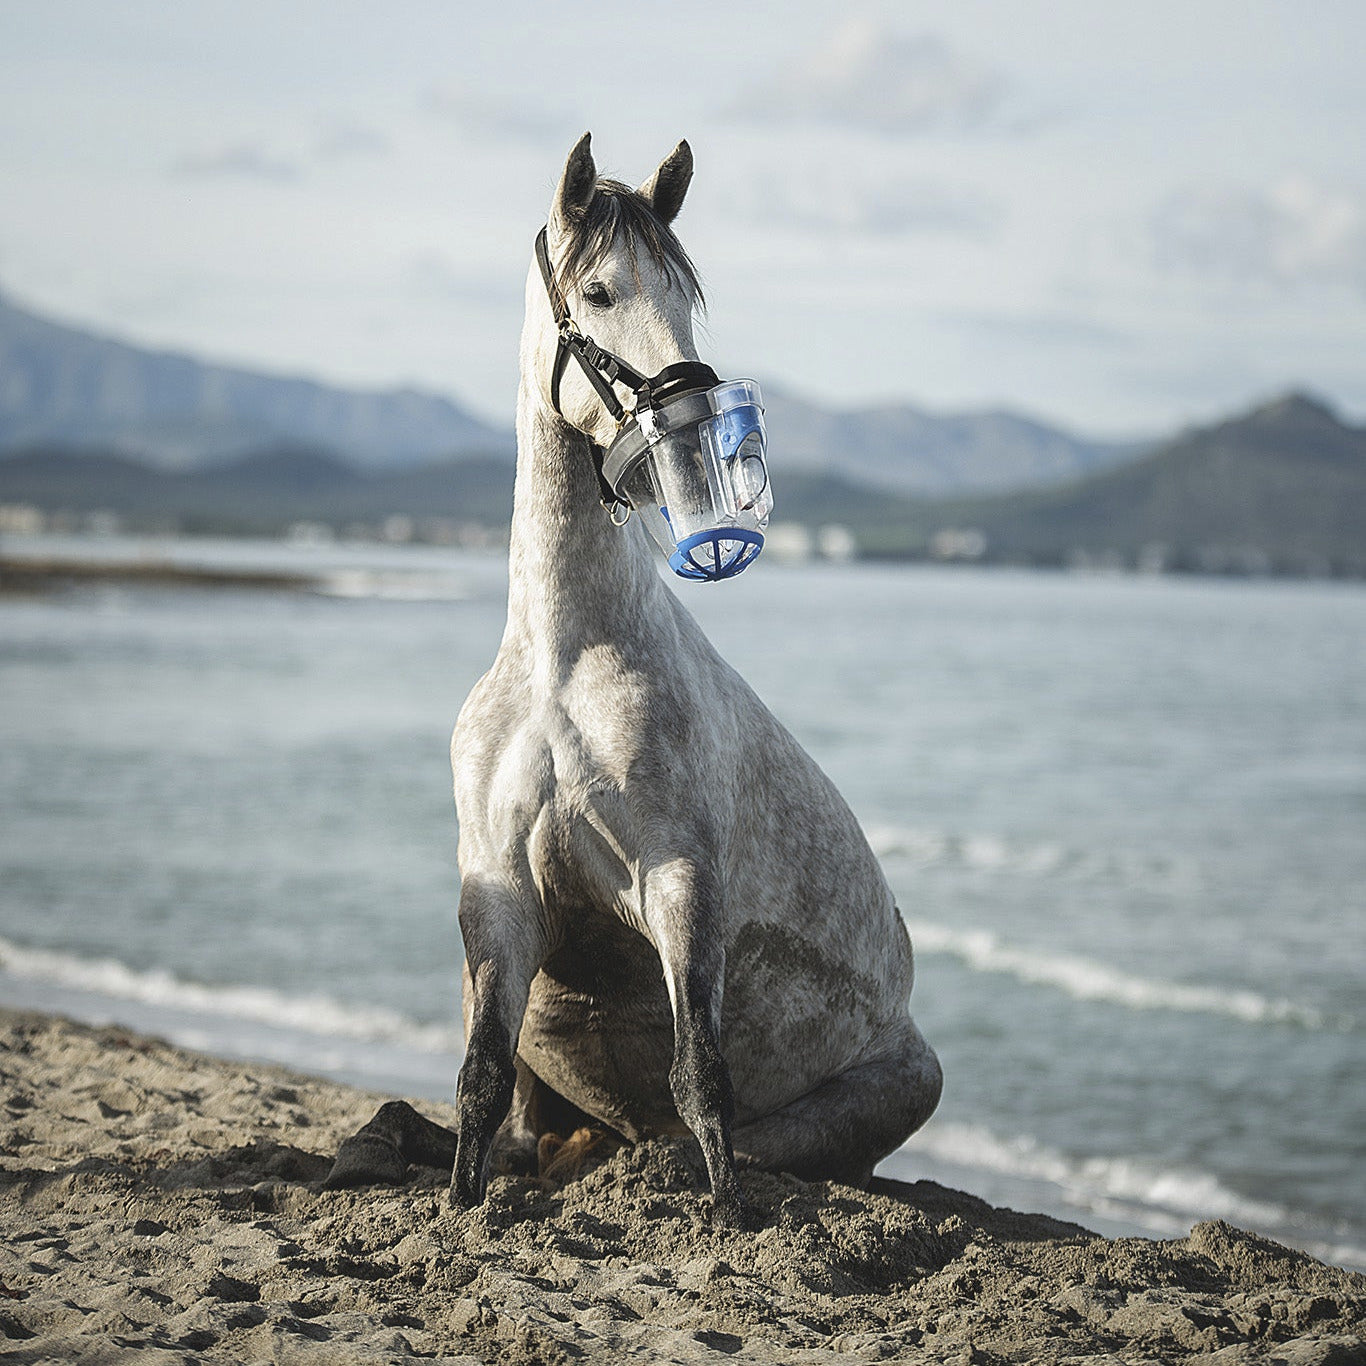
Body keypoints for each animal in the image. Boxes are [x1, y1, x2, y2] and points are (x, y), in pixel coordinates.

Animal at [325, 134, 942, 1226]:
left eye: (687, 297)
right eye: (602, 291)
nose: (694, 428)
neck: (563, 664)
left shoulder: (678, 878)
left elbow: (702, 1080)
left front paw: (727, 1215)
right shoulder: (500, 896)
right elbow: (479, 1081)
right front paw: (458, 1203)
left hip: (898, 1082)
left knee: (725, 1140)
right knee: (529, 1129)